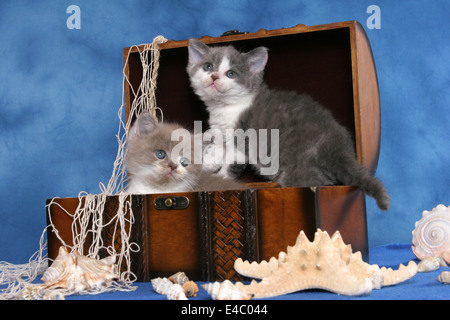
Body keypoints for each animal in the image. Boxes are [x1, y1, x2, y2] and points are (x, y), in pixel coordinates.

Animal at [187, 38, 390, 210]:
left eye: (231, 74)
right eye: (208, 66)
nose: (214, 76)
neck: (225, 107)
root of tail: (338, 148)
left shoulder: (241, 138)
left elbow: (231, 160)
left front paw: (221, 177)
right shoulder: (221, 131)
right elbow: (218, 146)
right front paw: (208, 161)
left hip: (300, 167)